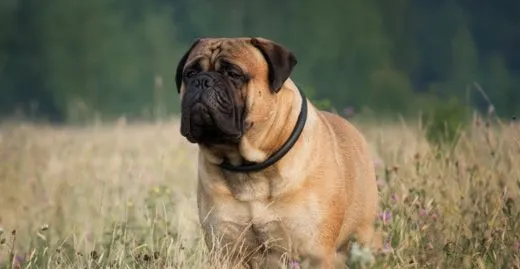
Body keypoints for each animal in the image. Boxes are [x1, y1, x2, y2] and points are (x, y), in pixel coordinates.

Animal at [177, 36, 380, 266]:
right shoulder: (227, 250)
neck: (249, 167)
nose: (202, 81)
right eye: (190, 73)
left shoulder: (314, 253)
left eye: (233, 74)